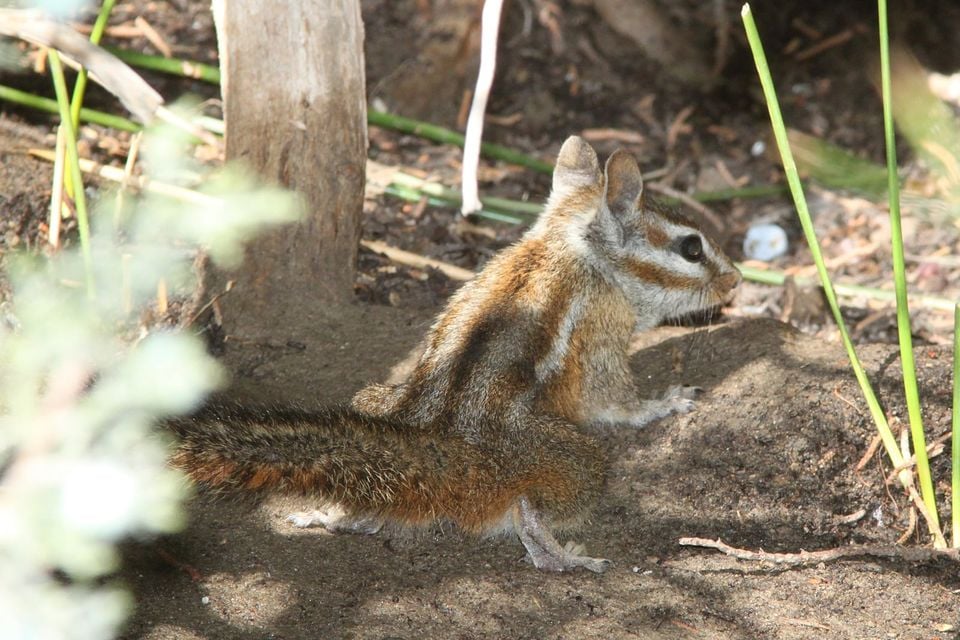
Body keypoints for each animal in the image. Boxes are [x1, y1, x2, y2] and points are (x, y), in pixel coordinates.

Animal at [169, 136, 741, 573]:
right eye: (692, 248)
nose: (736, 281)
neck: (571, 243)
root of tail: (440, 444)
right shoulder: (604, 330)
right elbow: (615, 401)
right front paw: (664, 402)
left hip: (370, 402)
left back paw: (332, 516)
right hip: (572, 459)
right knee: (533, 504)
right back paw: (562, 556)